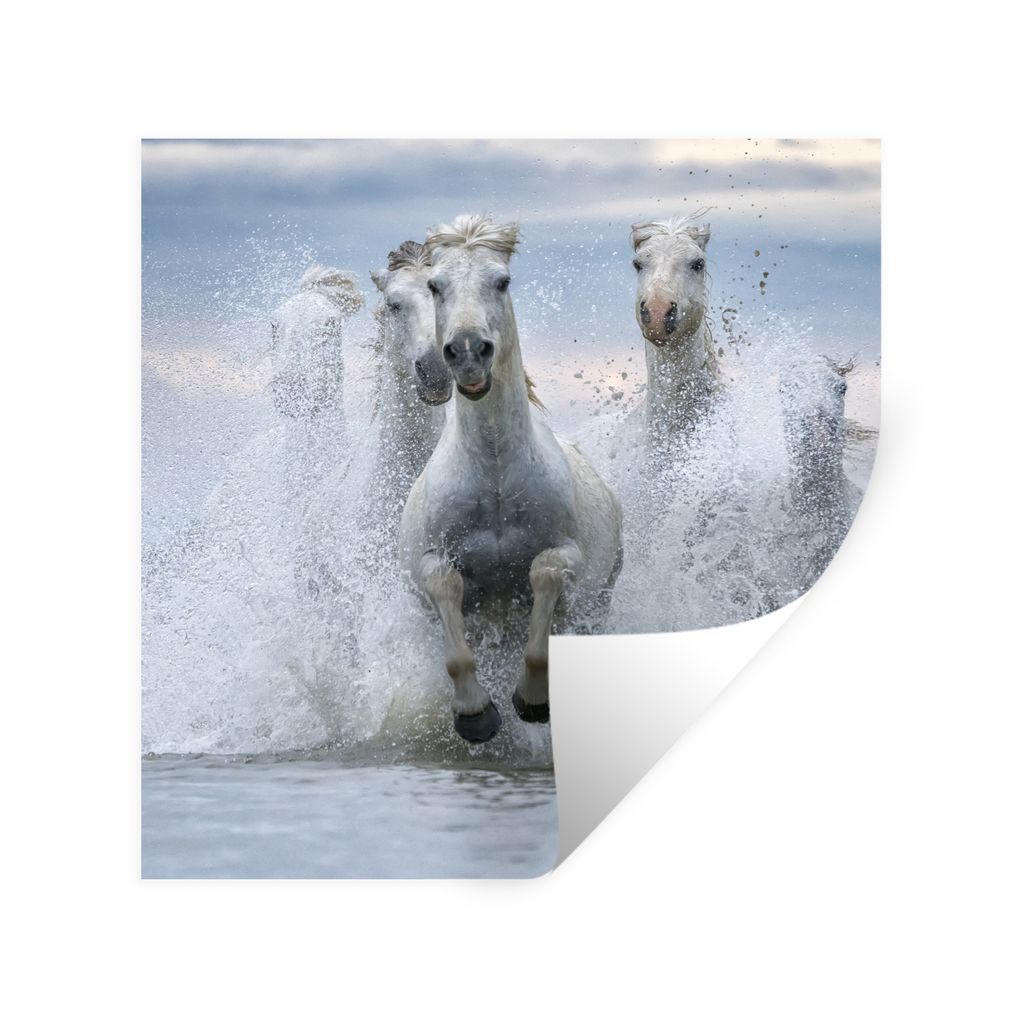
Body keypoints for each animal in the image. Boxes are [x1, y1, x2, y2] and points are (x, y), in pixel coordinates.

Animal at [399, 214, 623, 743]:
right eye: (435, 285)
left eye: (502, 281)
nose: (466, 353)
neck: (496, 474)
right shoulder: (431, 561)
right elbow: (447, 594)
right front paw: (475, 714)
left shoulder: (567, 554)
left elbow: (544, 577)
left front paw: (534, 700)